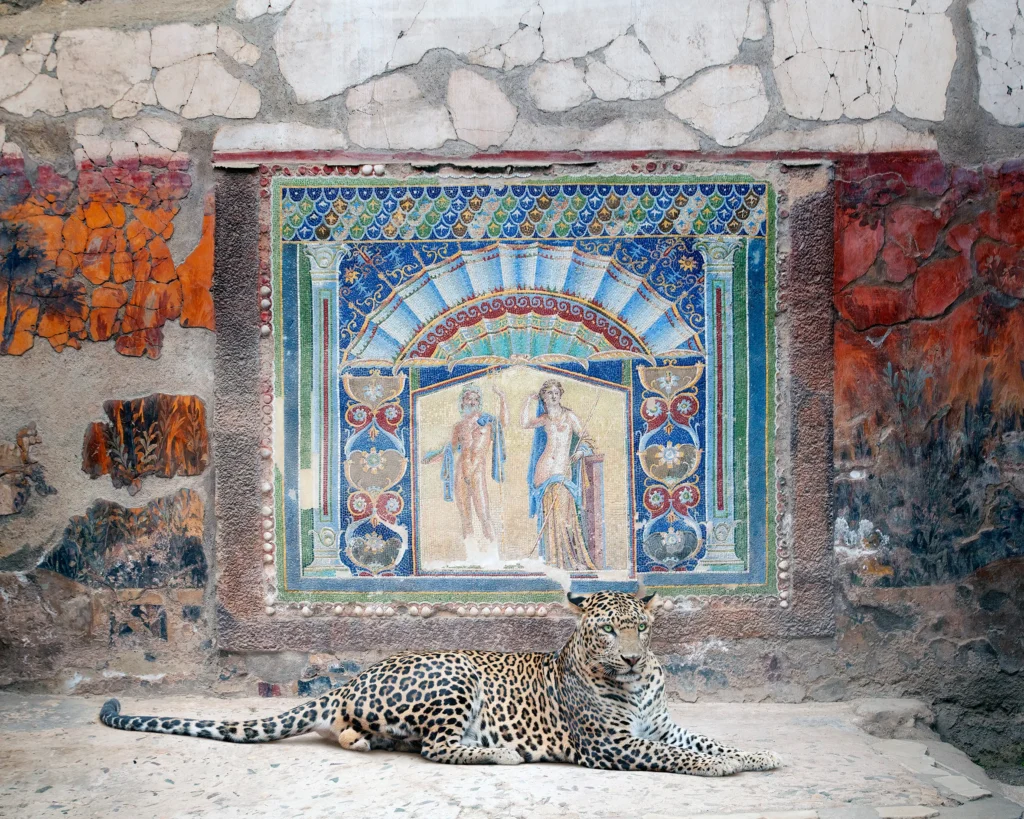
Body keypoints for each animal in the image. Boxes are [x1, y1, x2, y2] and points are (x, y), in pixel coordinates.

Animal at [100, 590, 782, 776]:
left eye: (640, 627)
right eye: (608, 633)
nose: (635, 660)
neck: (635, 688)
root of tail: (355, 676)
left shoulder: (660, 725)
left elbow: (703, 741)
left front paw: (757, 754)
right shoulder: (613, 746)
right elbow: (680, 757)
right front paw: (726, 767)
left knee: (367, 734)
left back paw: (359, 740)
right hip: (456, 677)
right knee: (437, 747)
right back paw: (501, 753)